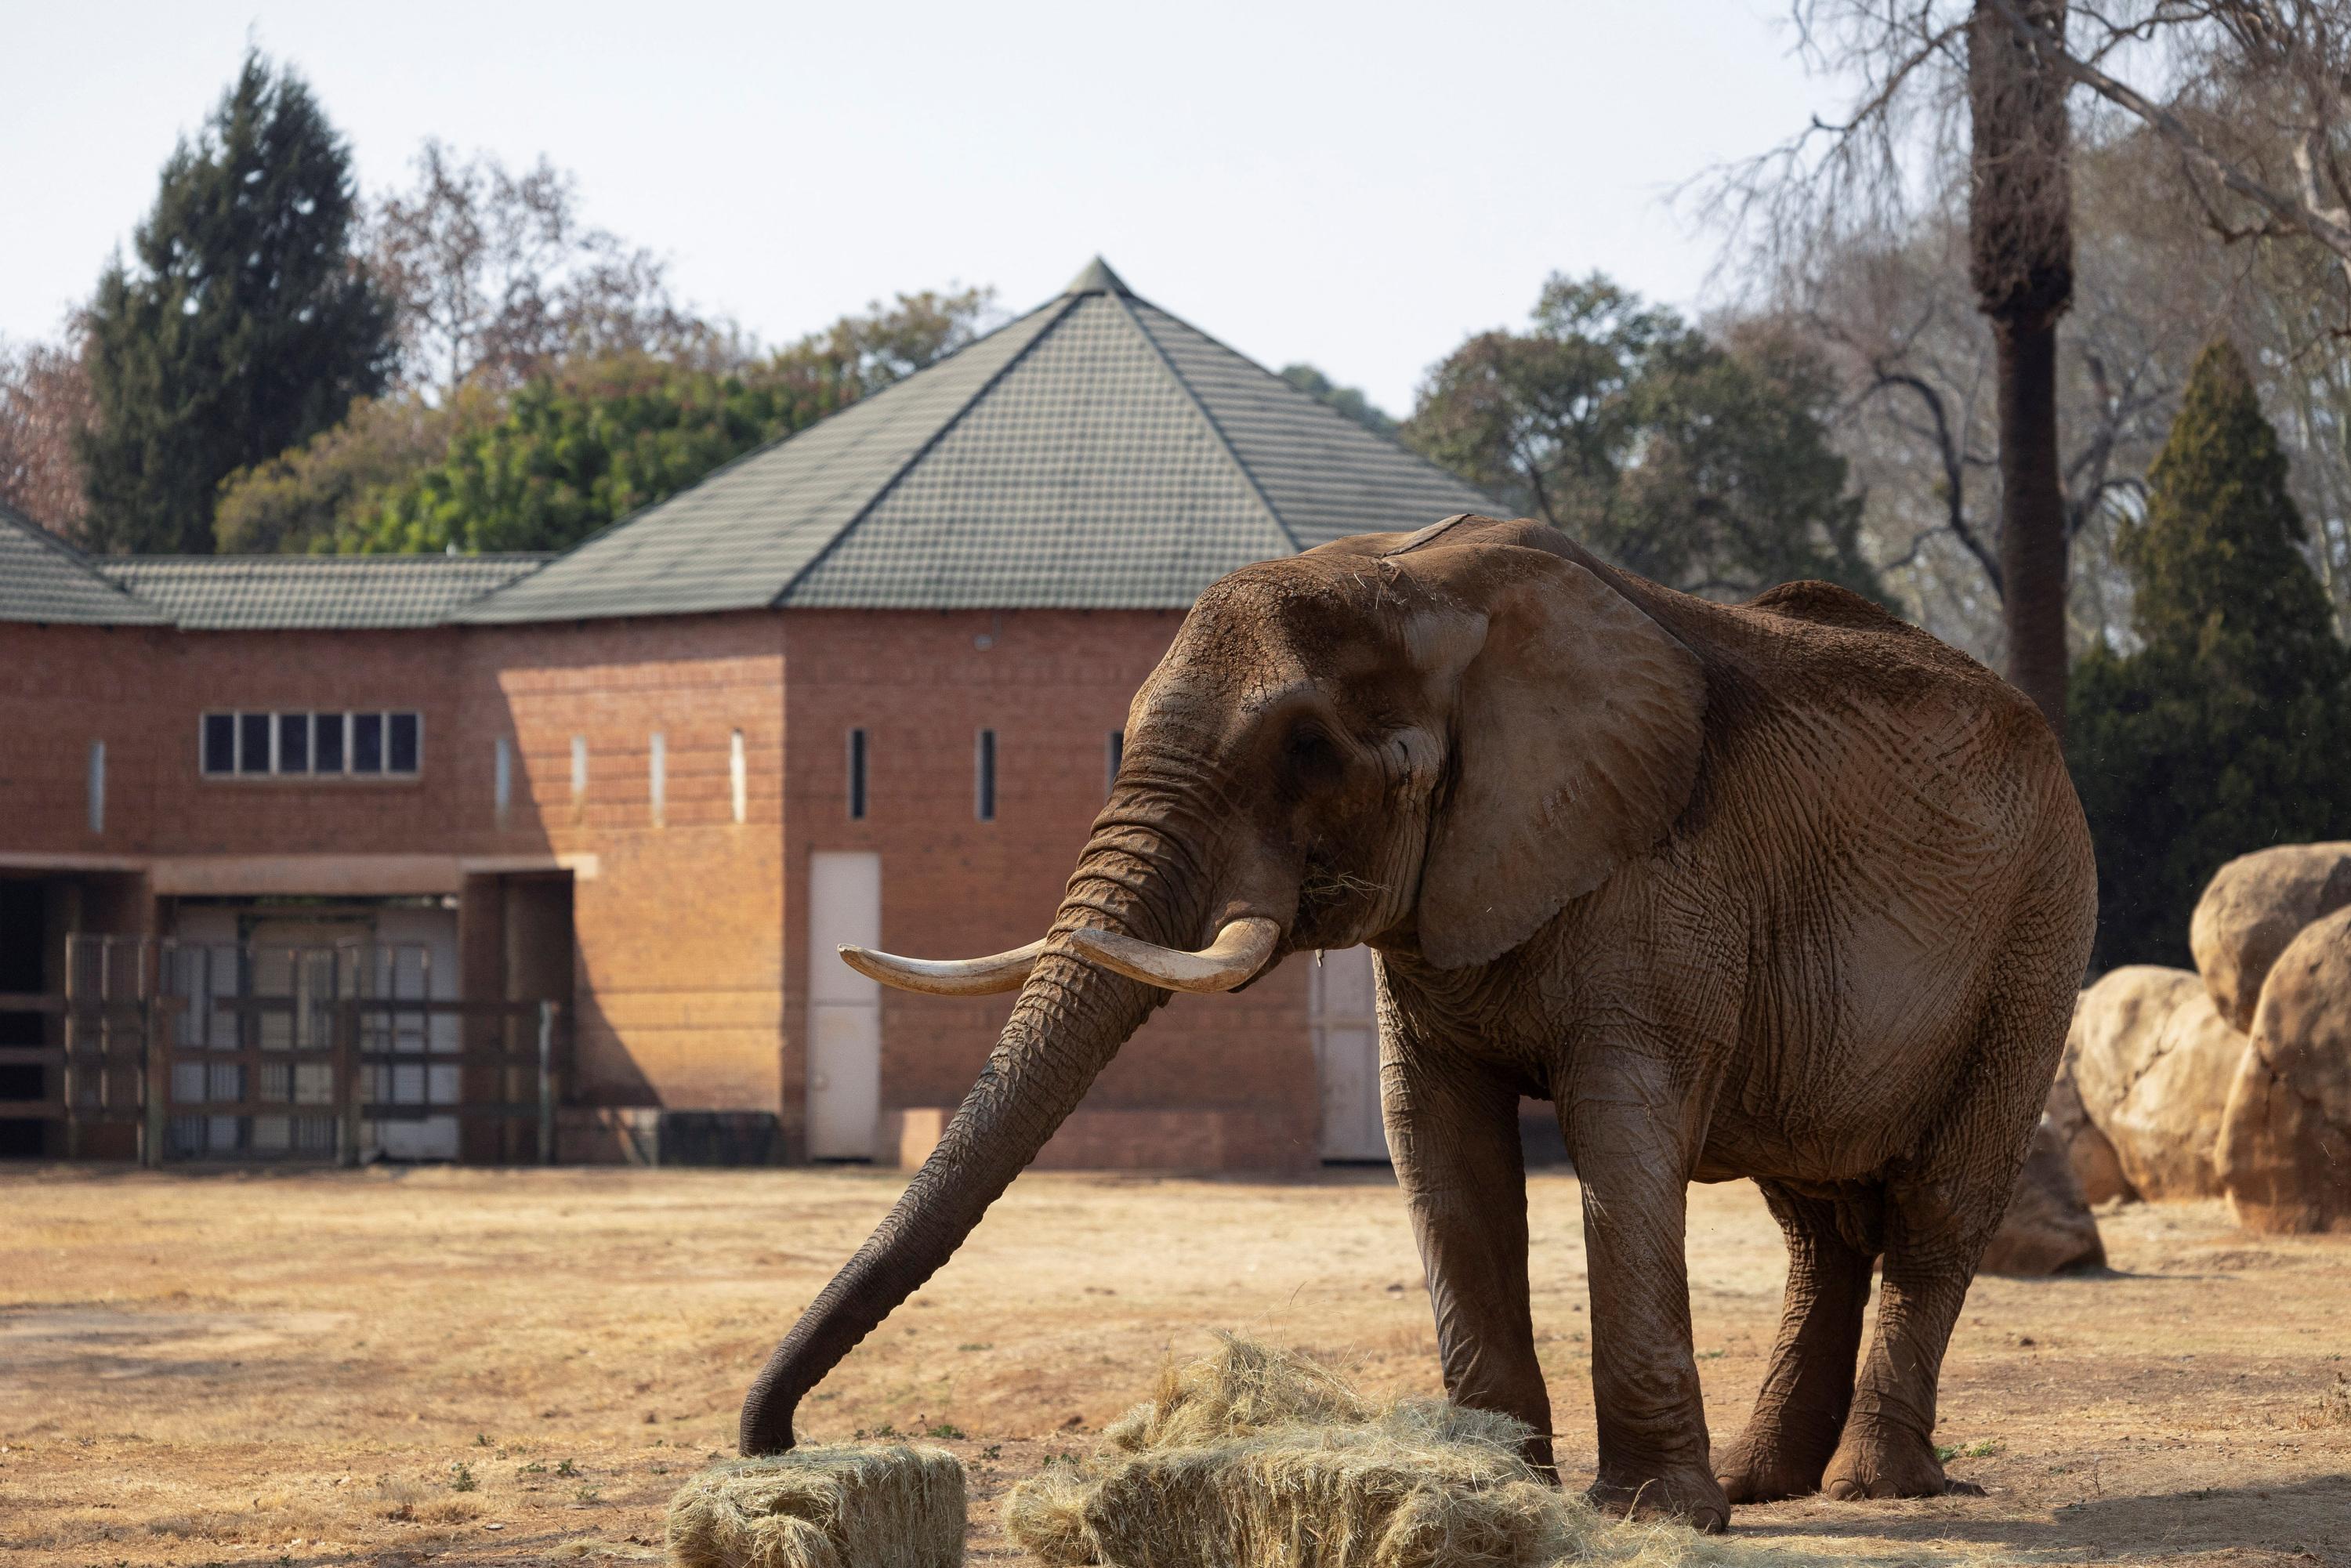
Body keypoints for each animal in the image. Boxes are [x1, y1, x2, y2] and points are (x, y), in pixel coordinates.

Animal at [734, 512, 2097, 1533]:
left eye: (1302, 747)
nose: (775, 1446)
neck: (1421, 581)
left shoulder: (1661, 878)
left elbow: (1620, 1134)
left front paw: (1652, 1514)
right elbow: (1437, 1136)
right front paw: (1495, 1484)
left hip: (2040, 928)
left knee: (1932, 1207)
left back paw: (1875, 1488)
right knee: (1815, 1222)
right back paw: (1772, 1485)